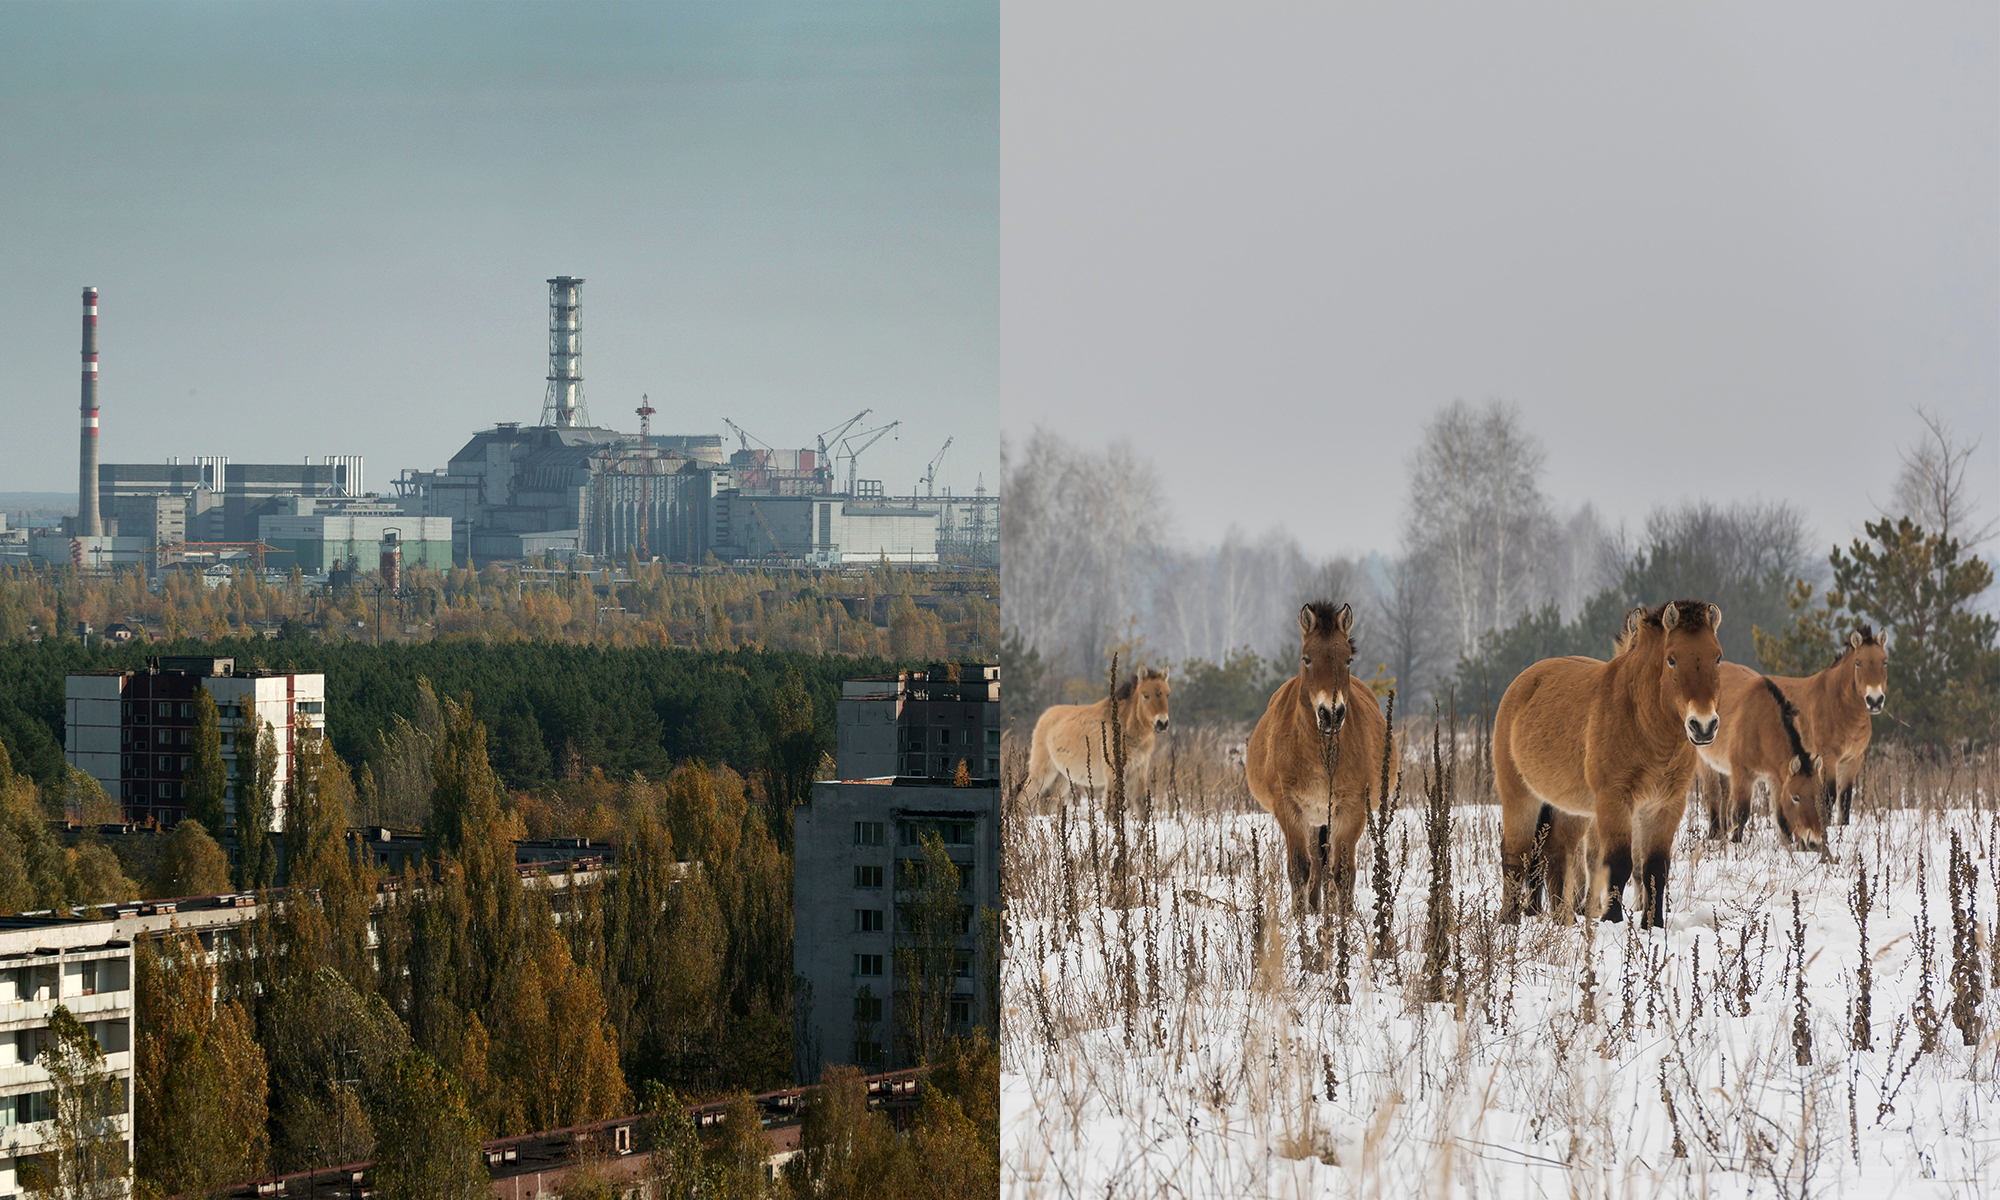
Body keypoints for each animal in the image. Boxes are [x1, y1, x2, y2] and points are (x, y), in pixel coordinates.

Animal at [1032, 672, 1168, 800]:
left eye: (1167, 694)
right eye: (1146, 695)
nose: (1162, 723)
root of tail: (1044, 715)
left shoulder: (1137, 774)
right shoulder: (1113, 775)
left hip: (1063, 777)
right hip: (1042, 774)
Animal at [1240, 600, 1400, 908]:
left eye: (1348, 660)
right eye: (1307, 659)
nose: (1331, 714)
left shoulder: (1351, 809)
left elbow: (1343, 874)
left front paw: (1343, 919)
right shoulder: (1289, 808)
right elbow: (1299, 869)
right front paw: (1299, 918)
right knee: (1315, 863)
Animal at [1504, 600, 1720, 928]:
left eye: (1718, 657)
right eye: (1671, 659)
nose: (1704, 726)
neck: (1645, 724)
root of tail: (1524, 682)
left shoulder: (1665, 805)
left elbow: (1655, 868)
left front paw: (1652, 924)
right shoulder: (1614, 800)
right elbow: (1618, 863)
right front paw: (1612, 919)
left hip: (1571, 811)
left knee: (1557, 854)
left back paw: (1562, 918)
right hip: (1520, 797)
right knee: (1516, 857)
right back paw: (1510, 922)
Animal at [1688, 672, 1832, 848]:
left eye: (1819, 796)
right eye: (1796, 797)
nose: (1814, 842)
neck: (1760, 723)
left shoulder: (1776, 780)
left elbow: (1780, 815)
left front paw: (1787, 844)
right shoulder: (1743, 775)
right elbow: (1741, 812)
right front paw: (1736, 842)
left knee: (1725, 795)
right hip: (1706, 764)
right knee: (1713, 794)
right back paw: (1715, 834)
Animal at [1768, 620, 1888, 824]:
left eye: (1885, 661)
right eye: (1858, 663)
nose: (1874, 700)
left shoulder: (1852, 760)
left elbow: (1845, 799)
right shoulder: (1828, 759)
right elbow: (1828, 797)